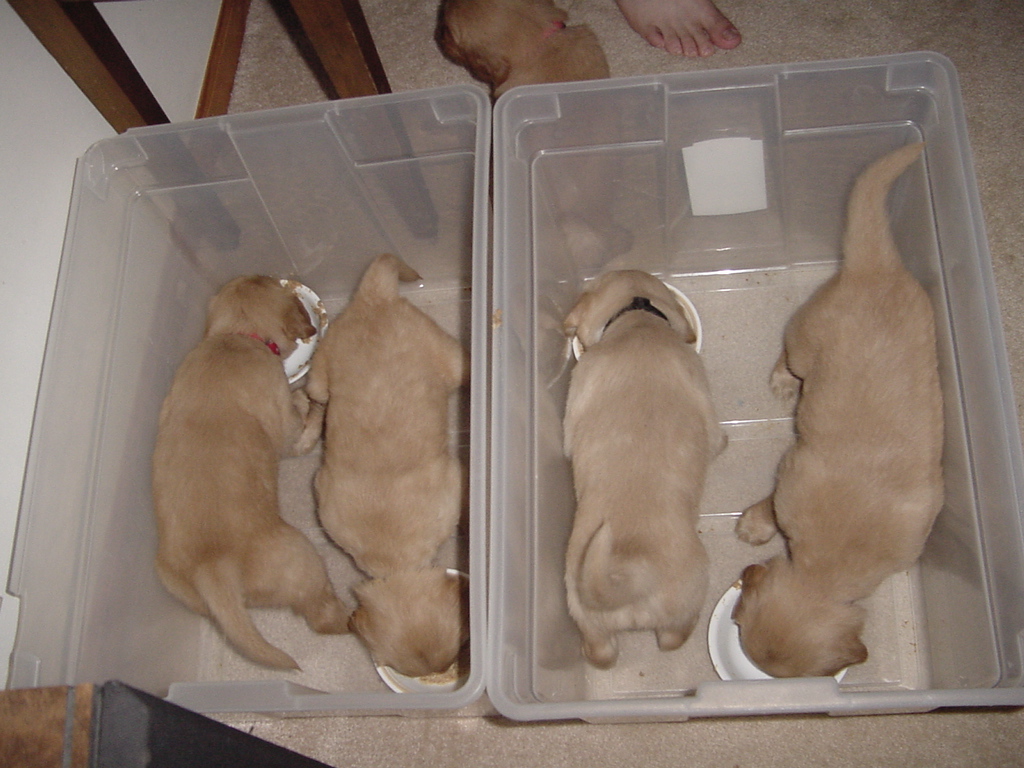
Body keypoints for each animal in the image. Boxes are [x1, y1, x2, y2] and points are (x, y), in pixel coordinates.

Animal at [151, 274, 350, 671]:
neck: (236, 335)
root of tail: (211, 568)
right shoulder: (283, 425)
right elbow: (299, 431)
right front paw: (309, 403)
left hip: (182, 590)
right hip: (302, 558)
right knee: (323, 617)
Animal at [561, 270, 729, 667]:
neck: (638, 322)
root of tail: (629, 575)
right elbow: (717, 439)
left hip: (582, 606)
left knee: (603, 653)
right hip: (687, 597)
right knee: (672, 639)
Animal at [737, 144, 942, 679]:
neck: (829, 563)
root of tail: (875, 265)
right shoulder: (790, 478)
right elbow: (769, 505)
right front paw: (754, 524)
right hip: (805, 339)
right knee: (789, 358)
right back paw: (784, 381)